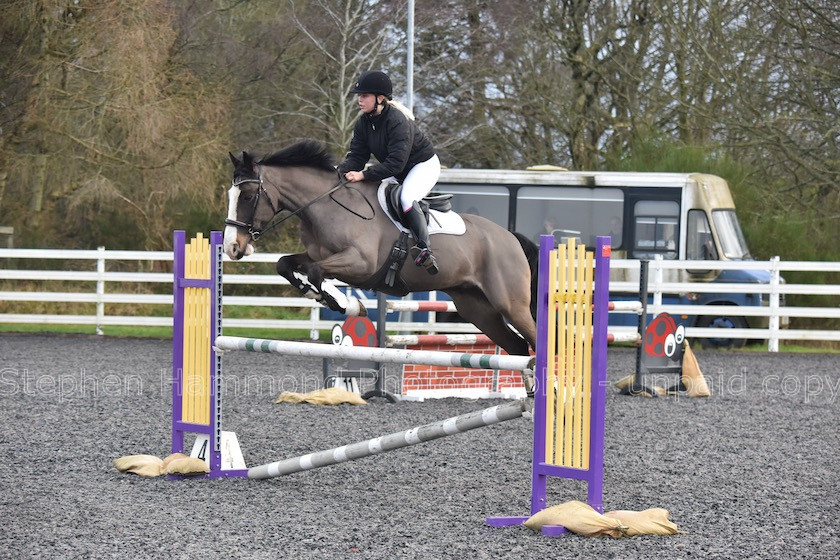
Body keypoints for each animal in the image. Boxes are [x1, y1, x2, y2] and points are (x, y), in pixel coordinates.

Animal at [223, 142, 540, 356]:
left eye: (248, 195)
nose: (232, 247)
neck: (325, 206)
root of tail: (510, 238)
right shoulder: (318, 255)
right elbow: (286, 264)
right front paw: (317, 295)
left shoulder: (360, 264)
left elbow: (315, 272)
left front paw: (346, 303)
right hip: (476, 308)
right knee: (518, 347)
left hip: (510, 304)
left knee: (534, 340)